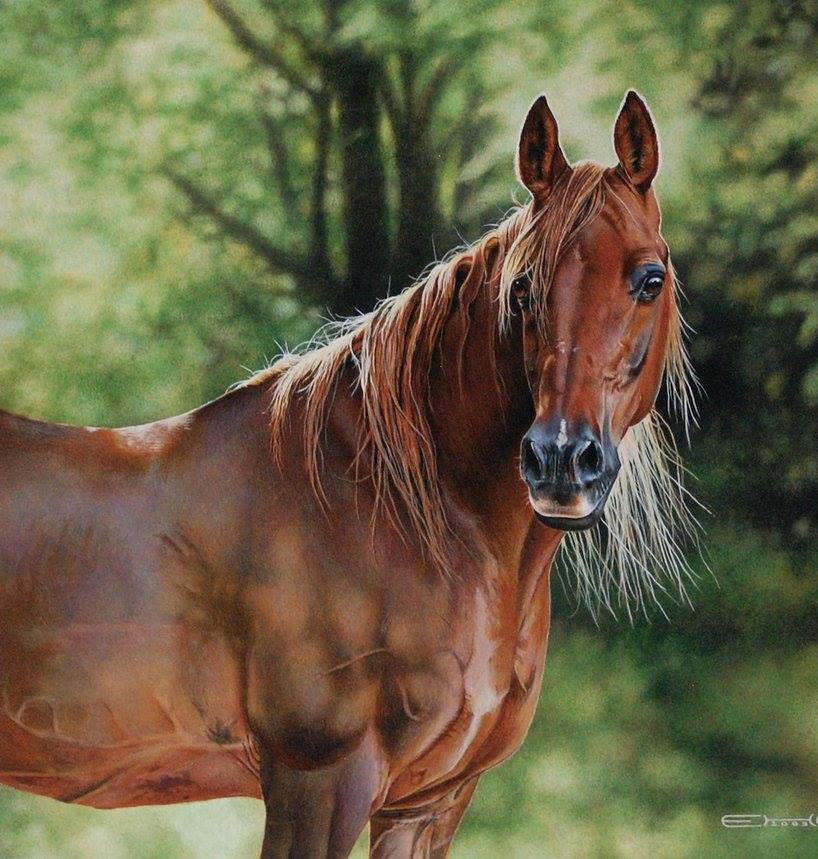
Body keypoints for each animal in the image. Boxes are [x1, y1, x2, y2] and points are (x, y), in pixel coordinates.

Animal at [0, 90, 695, 857]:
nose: (561, 460)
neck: (398, 515)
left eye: (649, 279)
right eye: (521, 288)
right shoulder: (319, 779)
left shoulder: (428, 802)